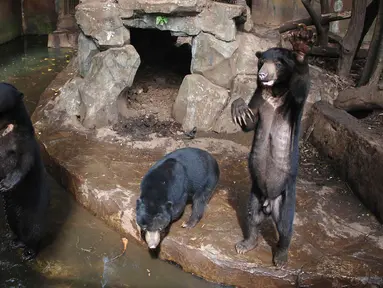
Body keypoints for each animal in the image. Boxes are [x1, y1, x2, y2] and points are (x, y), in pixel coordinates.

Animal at [0, 81, 50, 260]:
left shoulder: (23, 138)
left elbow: (24, 160)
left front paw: (5, 184)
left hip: (34, 212)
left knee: (33, 232)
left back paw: (29, 252)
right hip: (10, 211)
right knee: (16, 224)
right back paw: (15, 241)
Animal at [231, 24, 316, 268]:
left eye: (278, 63)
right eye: (262, 62)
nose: (262, 75)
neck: (274, 91)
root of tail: (269, 202)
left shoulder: (292, 102)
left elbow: (301, 85)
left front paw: (301, 46)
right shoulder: (259, 97)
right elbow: (250, 121)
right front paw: (239, 109)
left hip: (285, 195)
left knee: (286, 226)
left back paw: (281, 256)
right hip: (255, 191)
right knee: (251, 216)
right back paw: (246, 243)